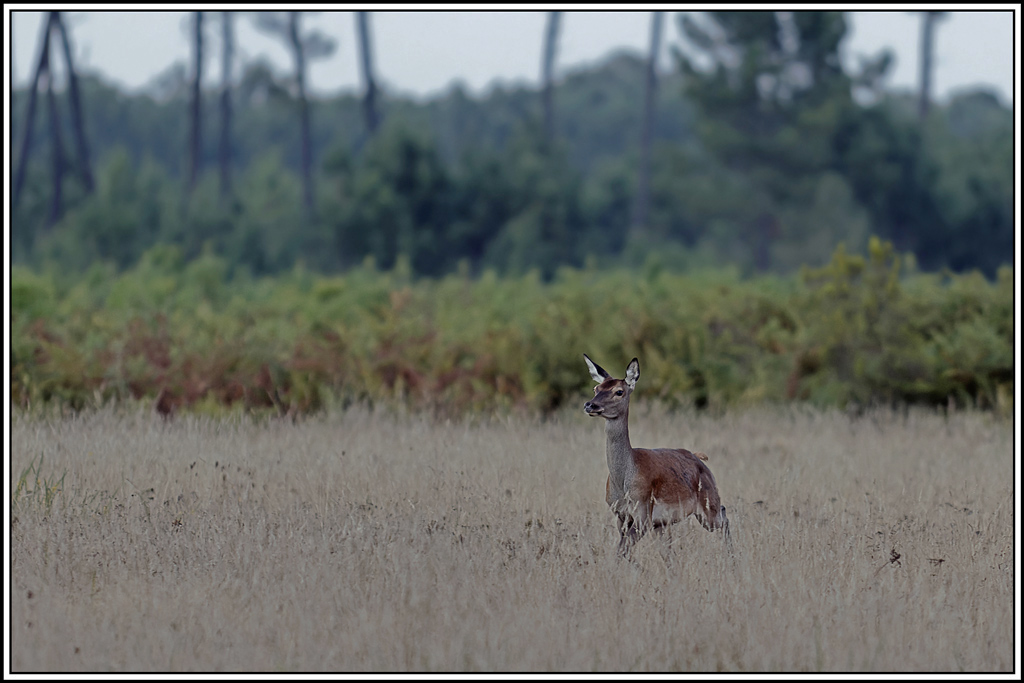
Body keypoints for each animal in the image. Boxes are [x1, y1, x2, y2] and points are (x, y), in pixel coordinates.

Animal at [585, 356, 729, 557]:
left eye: (619, 391)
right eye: (596, 388)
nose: (590, 404)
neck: (623, 482)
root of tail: (700, 461)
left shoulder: (643, 513)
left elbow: (622, 550)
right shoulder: (621, 515)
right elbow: (622, 550)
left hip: (708, 505)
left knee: (724, 516)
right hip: (662, 523)